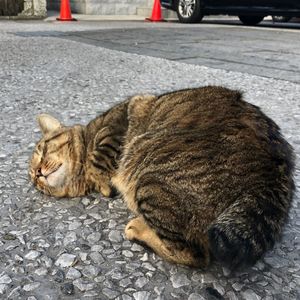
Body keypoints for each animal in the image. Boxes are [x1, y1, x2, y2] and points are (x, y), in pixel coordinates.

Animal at [29, 86, 294, 270]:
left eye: (42, 150)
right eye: (35, 181)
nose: (38, 172)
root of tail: (273, 168)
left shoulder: (119, 120)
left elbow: (99, 155)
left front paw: (102, 180)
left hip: (150, 180)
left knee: (195, 255)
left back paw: (138, 229)